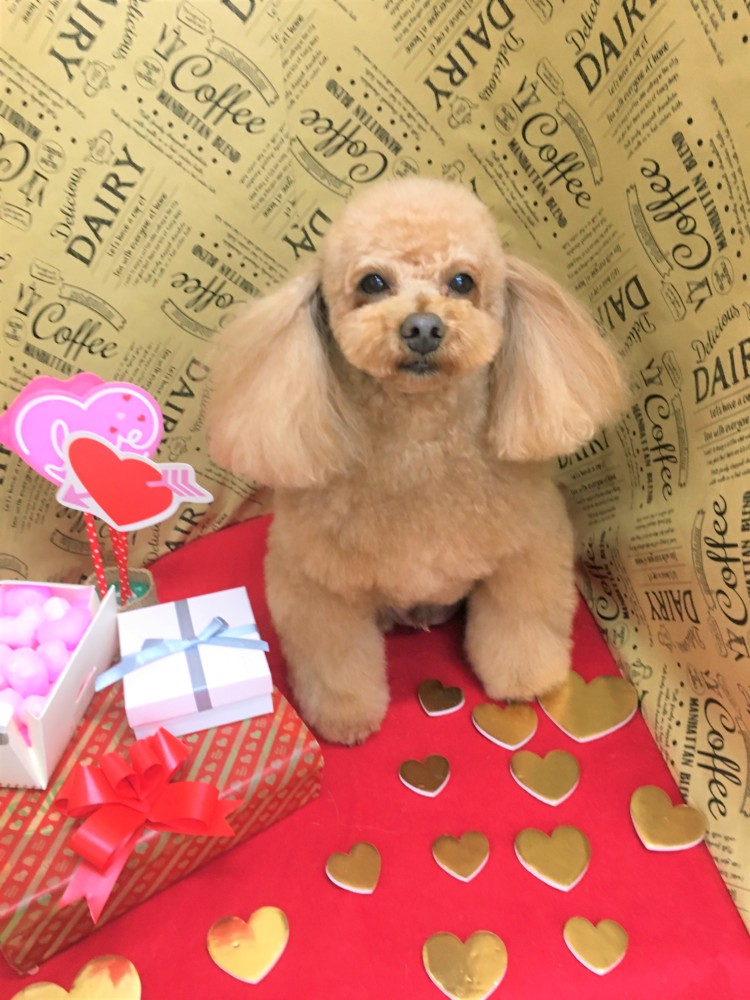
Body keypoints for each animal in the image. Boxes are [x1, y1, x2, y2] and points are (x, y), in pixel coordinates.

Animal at [207, 177, 626, 744]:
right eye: (373, 282)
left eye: (462, 281)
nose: (423, 326)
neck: (419, 445)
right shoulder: (315, 586)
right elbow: (336, 659)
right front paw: (345, 716)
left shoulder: (530, 550)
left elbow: (521, 621)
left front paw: (526, 678)